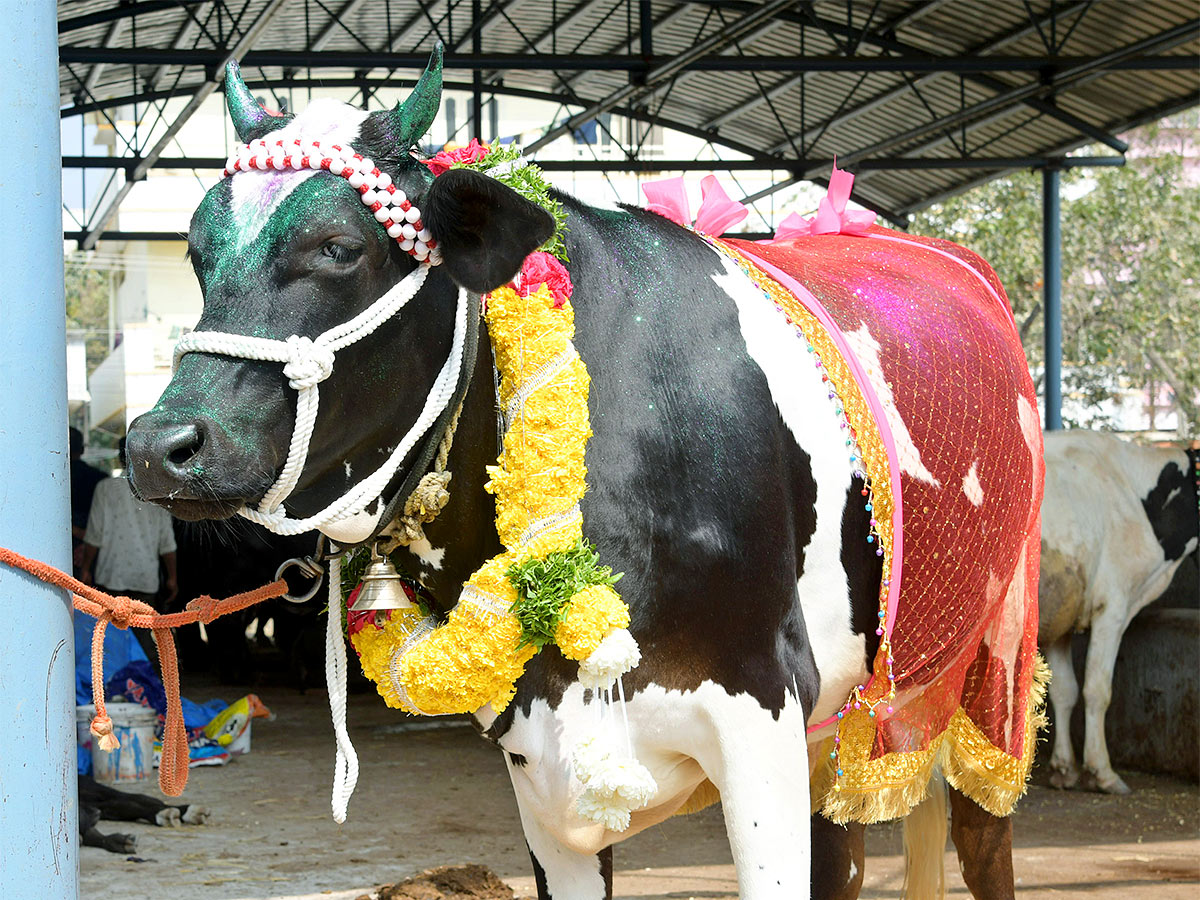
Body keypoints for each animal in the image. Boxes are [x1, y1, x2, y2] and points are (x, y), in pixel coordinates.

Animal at [124, 49, 1041, 900]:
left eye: (339, 247)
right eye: (199, 256)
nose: (157, 444)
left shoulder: (761, 715)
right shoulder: (540, 764)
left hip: (992, 658)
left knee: (982, 839)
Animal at [1036, 434, 1195, 792]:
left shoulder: (1062, 610)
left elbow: (1064, 690)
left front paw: (1063, 769)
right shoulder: (1113, 606)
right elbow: (1097, 690)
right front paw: (1102, 772)